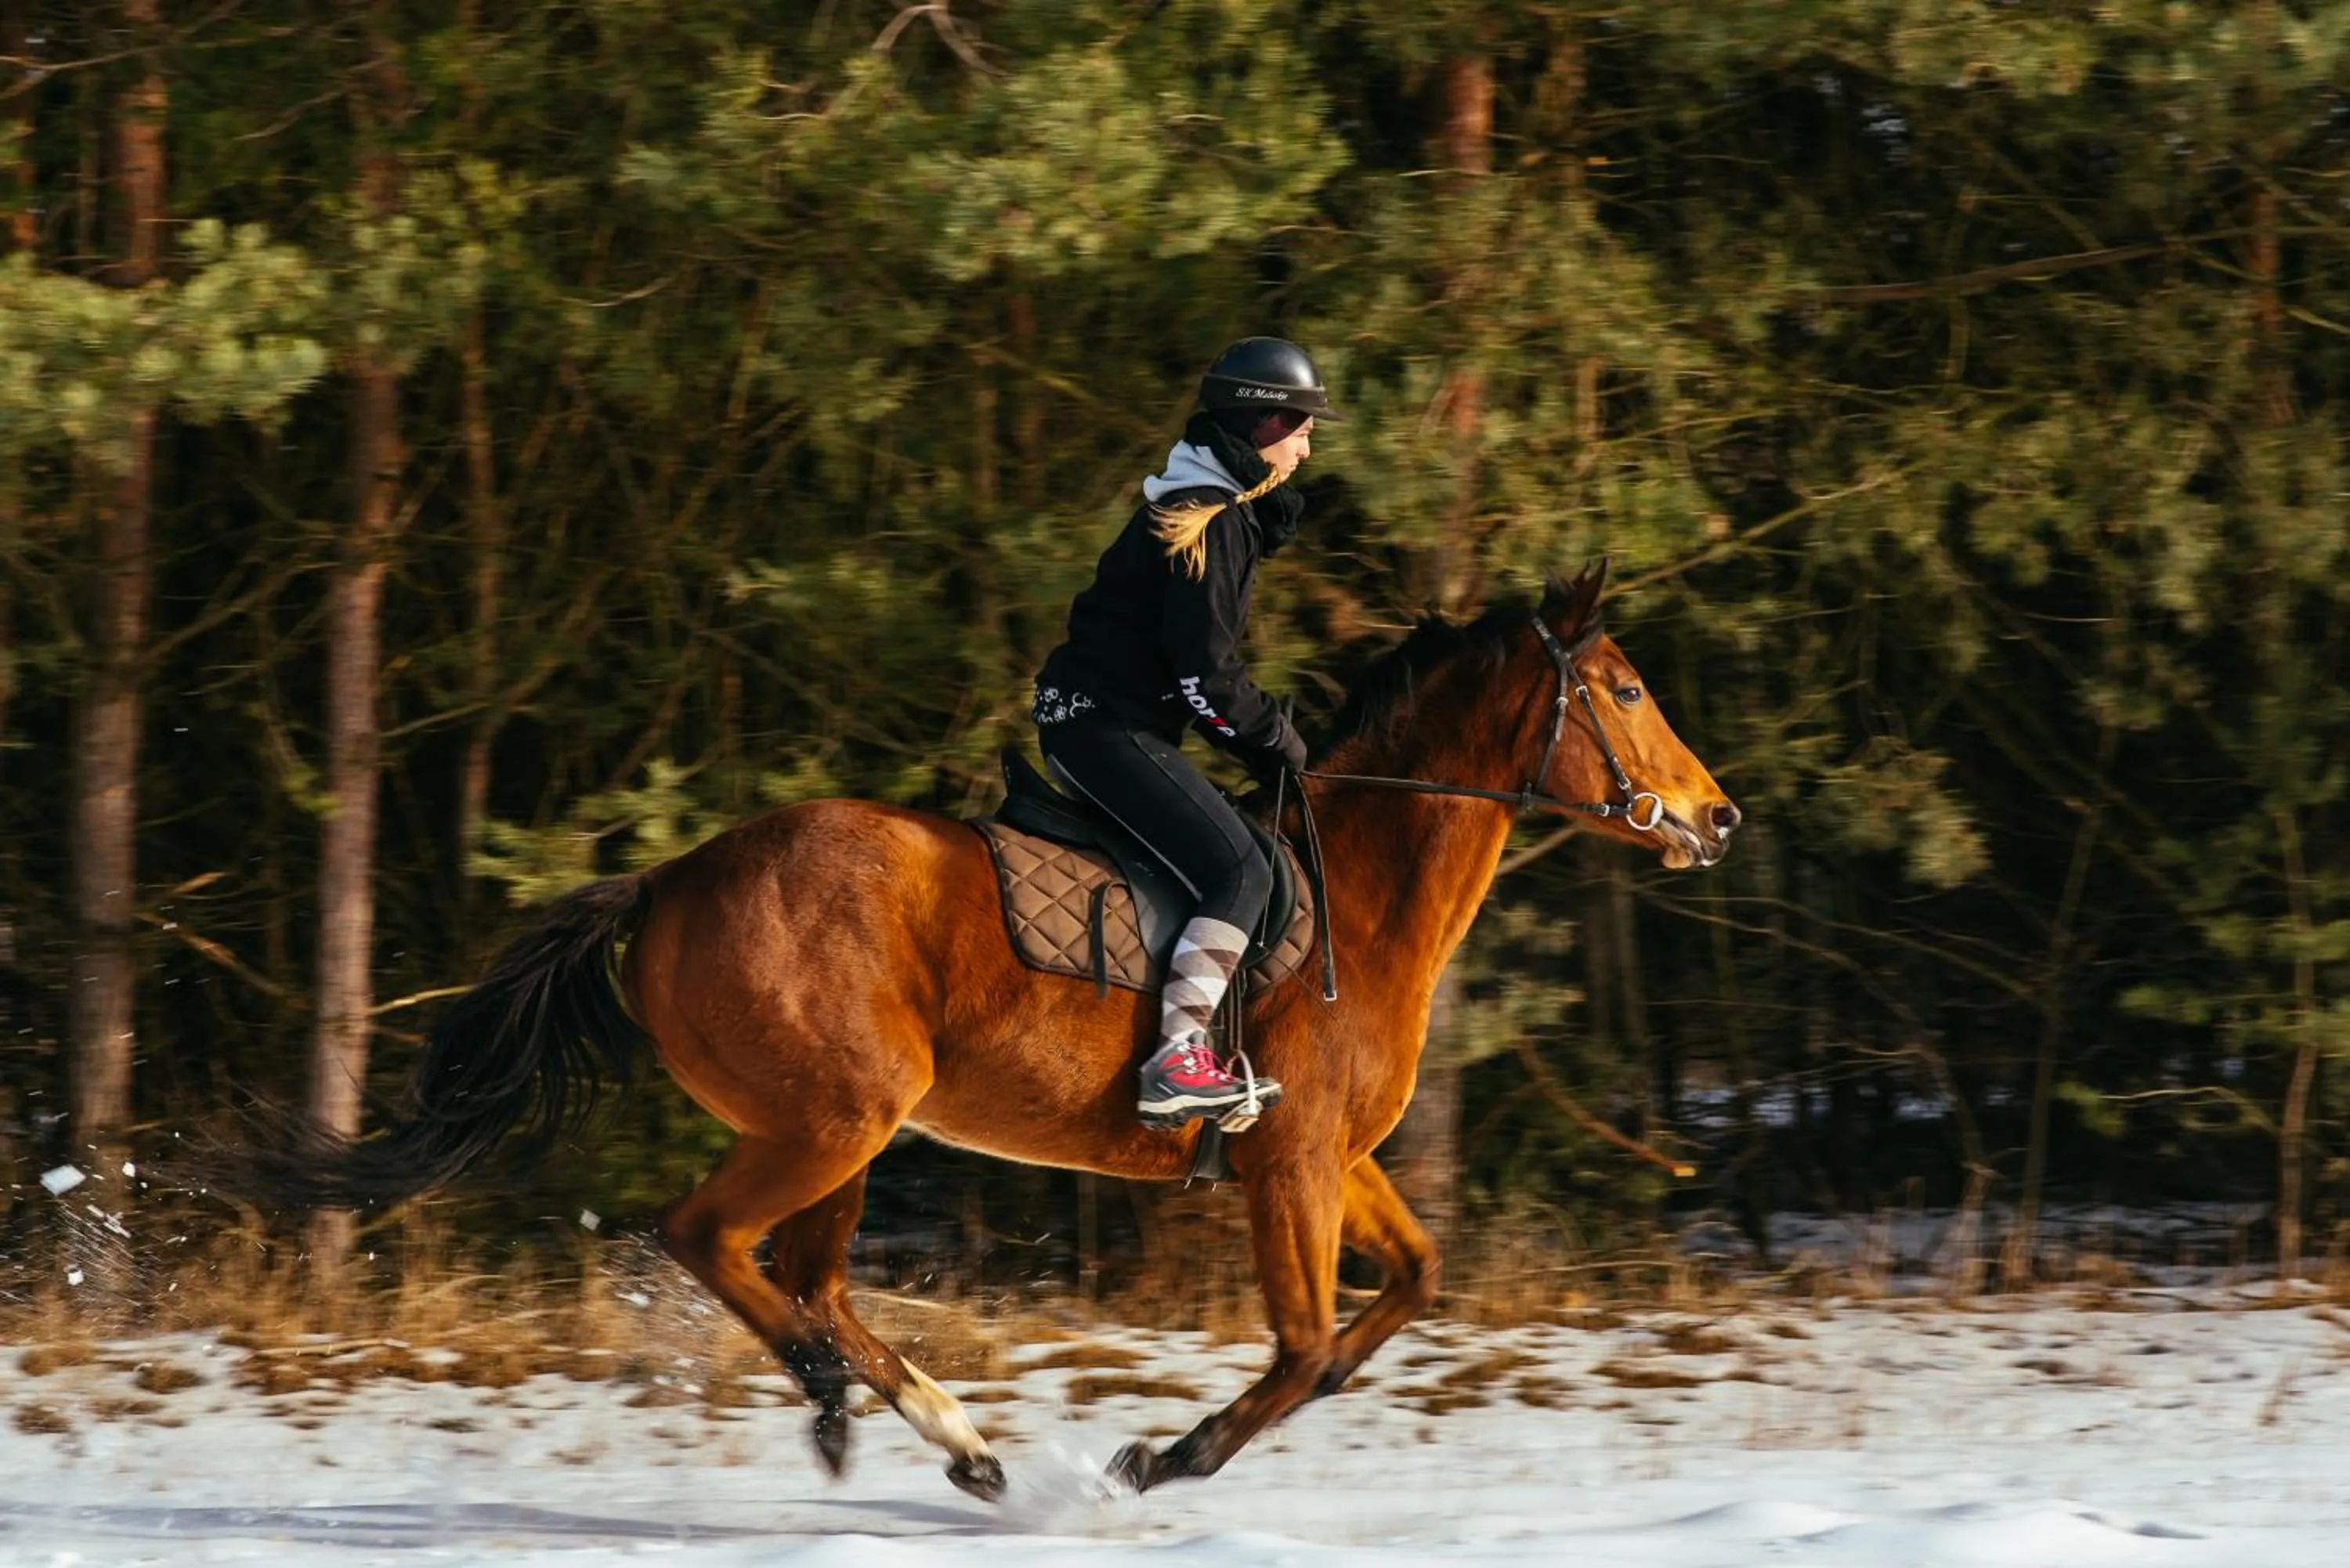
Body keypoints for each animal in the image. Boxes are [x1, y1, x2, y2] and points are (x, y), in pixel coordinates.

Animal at [228, 560, 1737, 1500]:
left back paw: (953, 1443)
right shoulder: (1293, 1168)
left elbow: (1411, 1286)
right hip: (835, 1116)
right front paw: (1161, 1460)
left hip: (842, 1131)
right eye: (1622, 689)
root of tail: (670, 879)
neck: (1357, 899)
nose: (1717, 819)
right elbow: (1308, 1347)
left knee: (810, 1277)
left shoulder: (1329, 1161)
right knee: (712, 1241)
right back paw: (857, 1410)